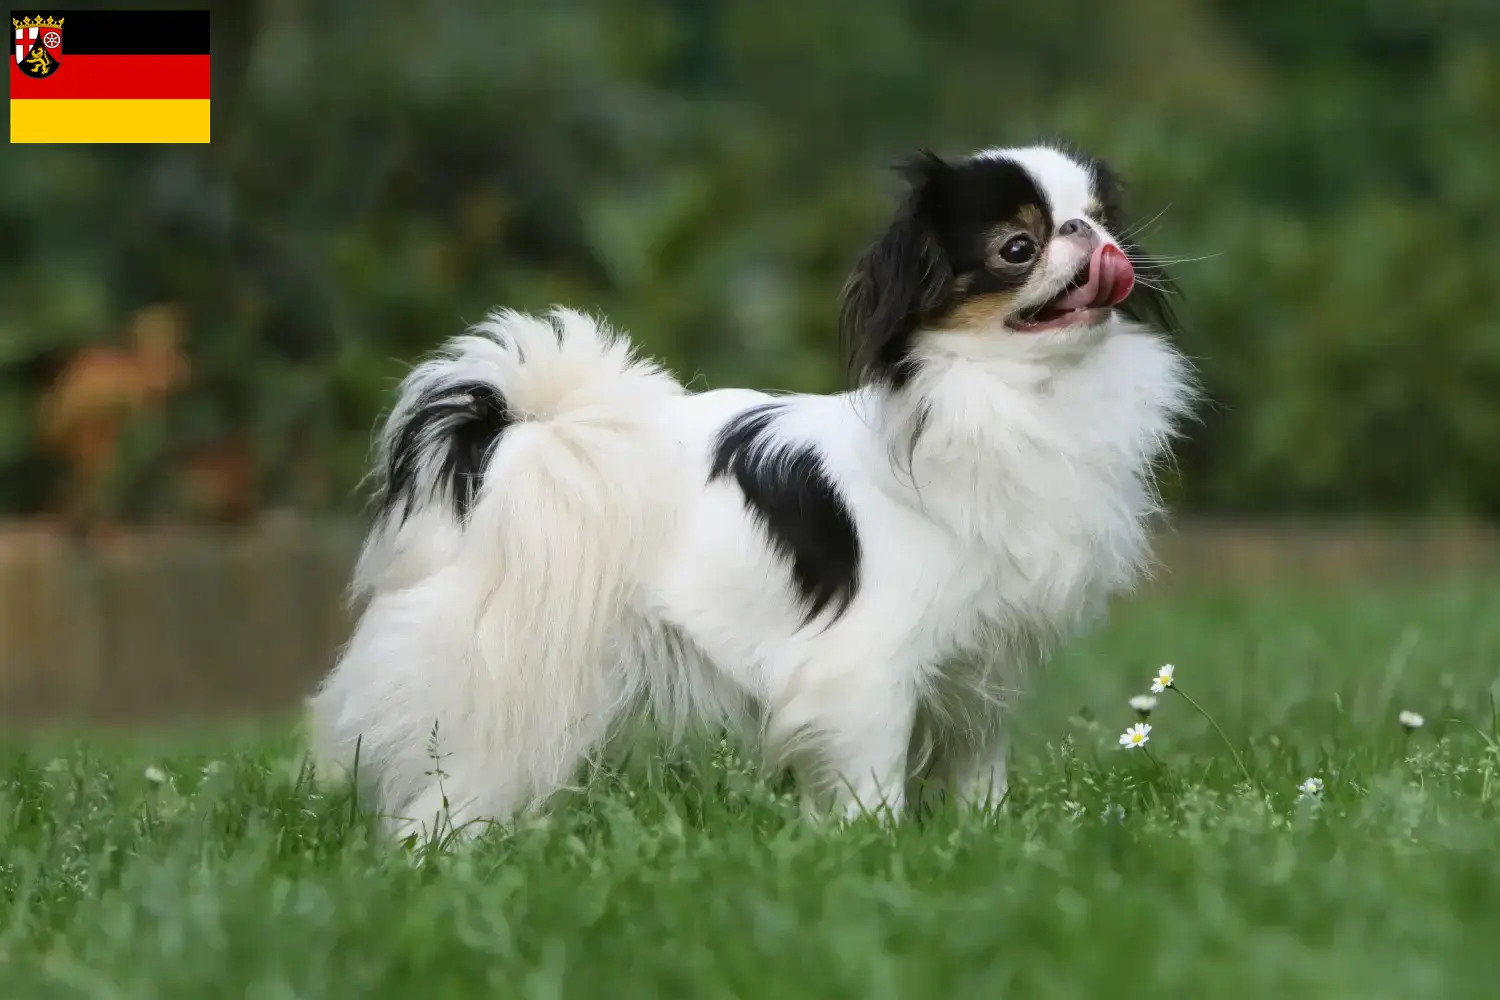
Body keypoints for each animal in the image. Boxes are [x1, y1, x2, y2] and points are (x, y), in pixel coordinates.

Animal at [310, 142, 1200, 845]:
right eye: (1017, 247)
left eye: (1096, 216)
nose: (1091, 237)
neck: (1015, 396)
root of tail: (515, 440)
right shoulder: (868, 668)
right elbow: (871, 779)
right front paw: (875, 850)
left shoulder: (978, 673)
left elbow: (978, 772)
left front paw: (984, 839)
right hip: (510, 676)